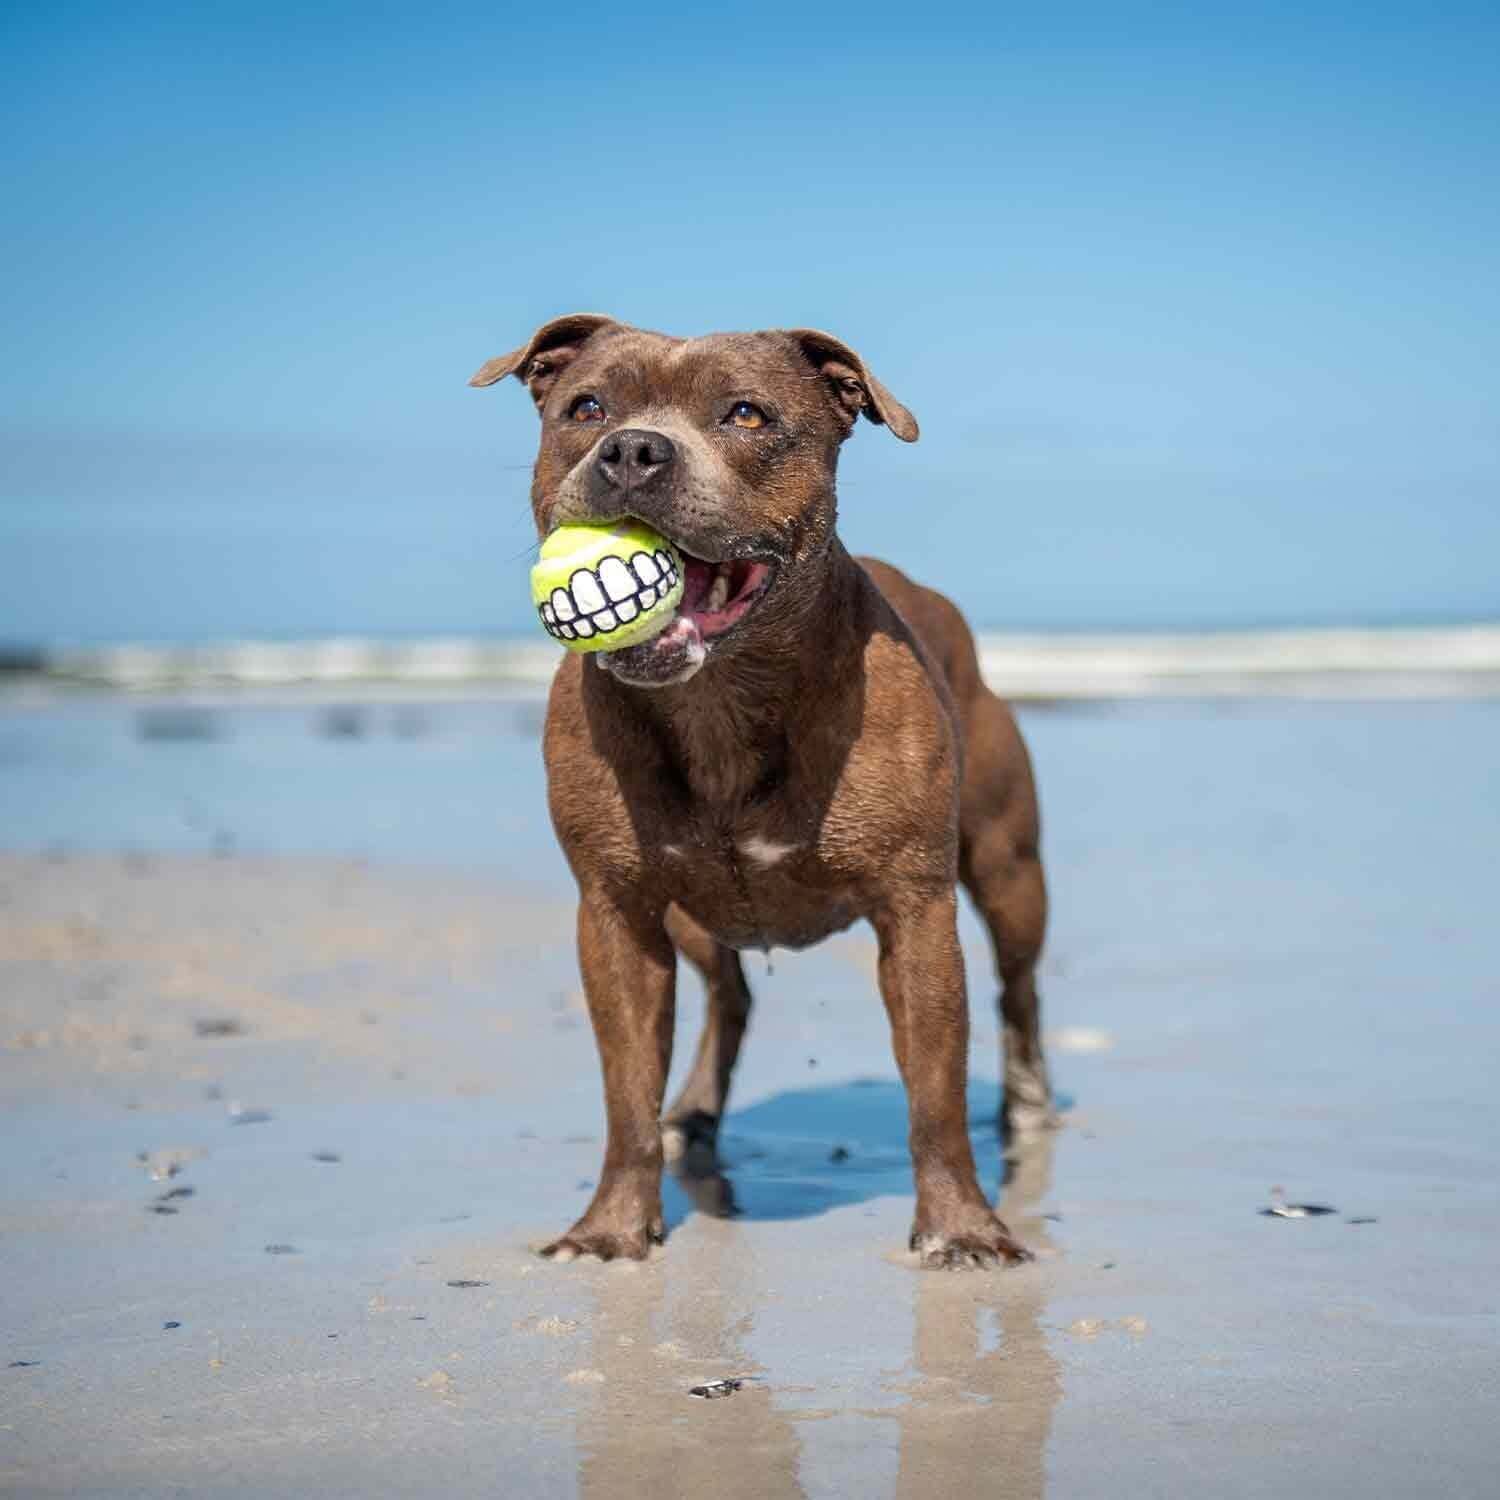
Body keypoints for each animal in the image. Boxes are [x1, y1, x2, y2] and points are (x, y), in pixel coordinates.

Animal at [471, 315, 1053, 1268]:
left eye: (747, 414)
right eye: (585, 407)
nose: (631, 450)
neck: (716, 702)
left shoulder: (918, 913)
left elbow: (935, 1092)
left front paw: (963, 1227)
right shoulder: (617, 913)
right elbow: (625, 1091)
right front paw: (612, 1228)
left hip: (1010, 868)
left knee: (1020, 984)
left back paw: (1031, 1106)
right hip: (692, 917)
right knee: (729, 999)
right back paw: (696, 1111)